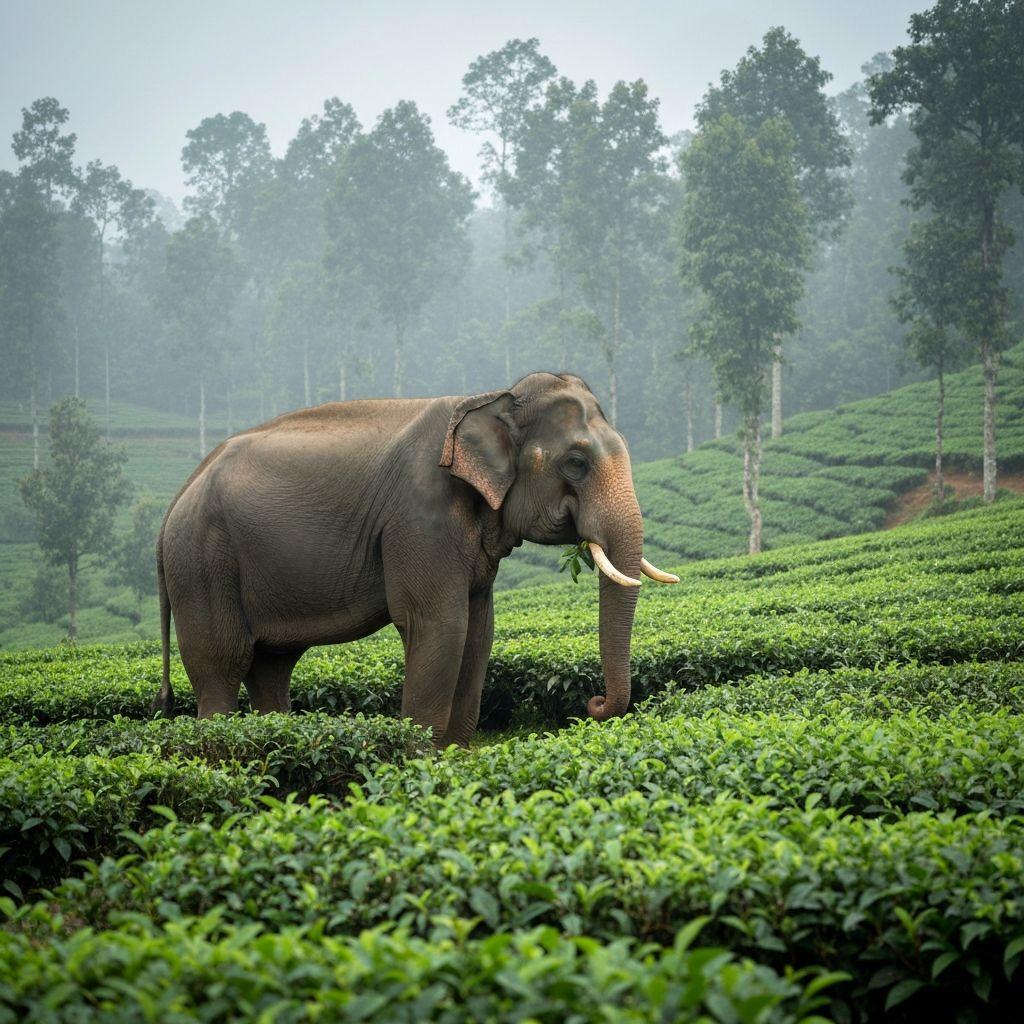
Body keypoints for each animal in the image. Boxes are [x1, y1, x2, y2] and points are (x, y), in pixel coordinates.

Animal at [153, 372, 678, 745]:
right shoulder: (419, 518)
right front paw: (421, 756)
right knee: (222, 663)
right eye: (575, 462)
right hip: (202, 563)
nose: (593, 702)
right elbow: (439, 624)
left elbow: (479, 629)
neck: (491, 396)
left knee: (270, 666)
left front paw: (455, 754)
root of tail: (175, 499)